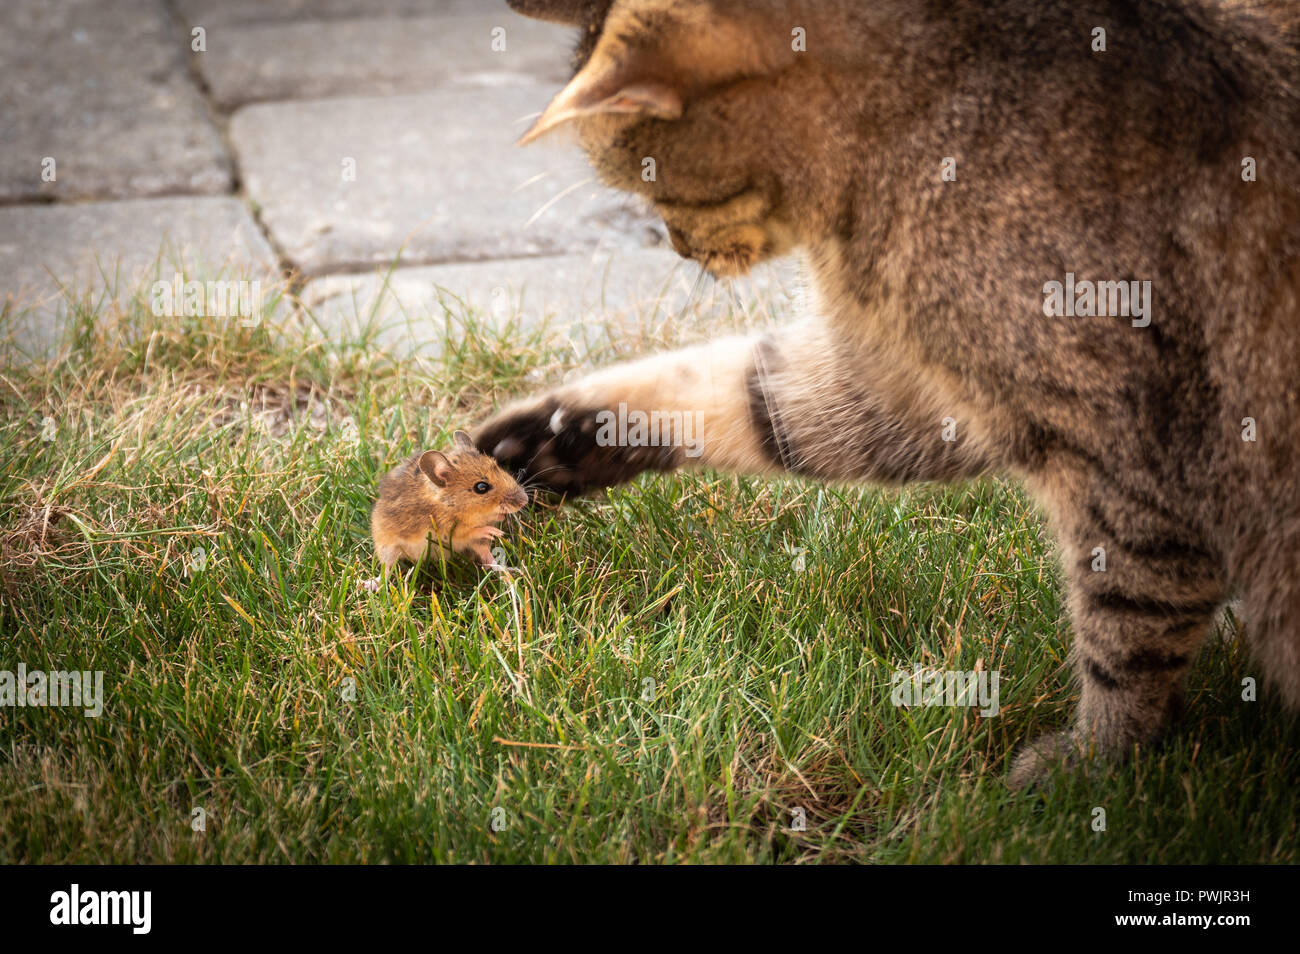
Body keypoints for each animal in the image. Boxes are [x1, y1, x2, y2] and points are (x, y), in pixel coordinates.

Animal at [475, 0, 1300, 790]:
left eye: (648, 180)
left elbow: (1126, 634)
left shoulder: (1133, 465)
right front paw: (554, 438)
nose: (677, 248)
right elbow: (738, 396)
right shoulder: (897, 389)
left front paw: (1095, 763)